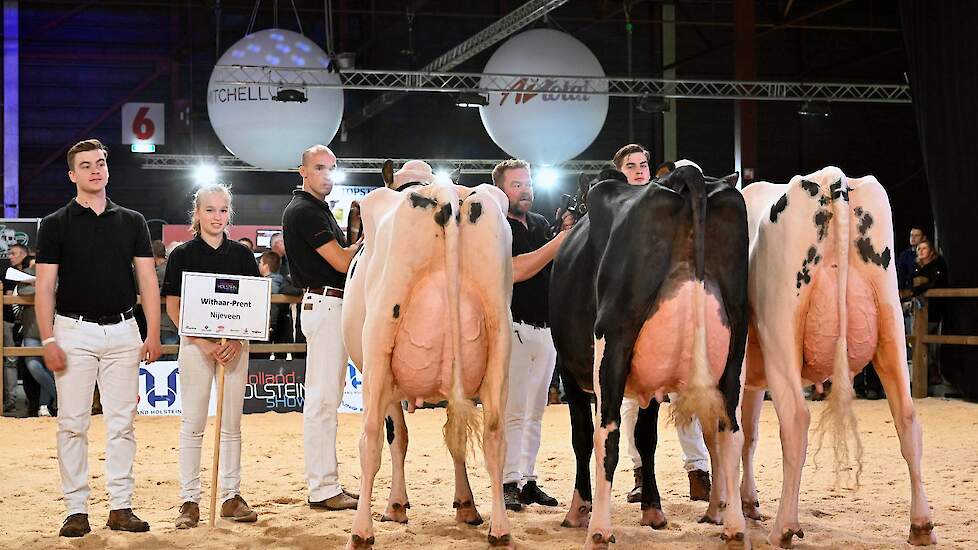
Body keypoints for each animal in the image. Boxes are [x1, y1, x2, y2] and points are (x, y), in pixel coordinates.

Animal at [548, 165, 748, 550]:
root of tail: (684, 177)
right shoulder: (651, 381)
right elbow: (646, 439)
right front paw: (653, 510)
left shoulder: (569, 369)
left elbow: (582, 437)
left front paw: (578, 510)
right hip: (735, 345)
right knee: (729, 433)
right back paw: (733, 527)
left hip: (613, 339)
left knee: (606, 434)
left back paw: (599, 530)